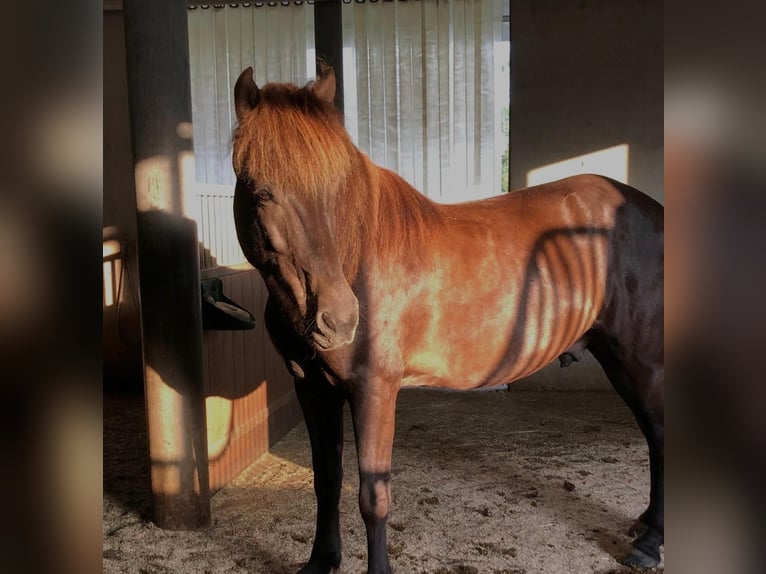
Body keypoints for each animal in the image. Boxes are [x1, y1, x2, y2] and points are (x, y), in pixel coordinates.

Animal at [231, 65, 664, 572]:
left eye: (338, 189)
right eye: (262, 193)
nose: (338, 320)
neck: (358, 263)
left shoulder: (374, 390)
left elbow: (372, 498)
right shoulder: (313, 389)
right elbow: (326, 482)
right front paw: (322, 560)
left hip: (642, 364)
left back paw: (651, 542)